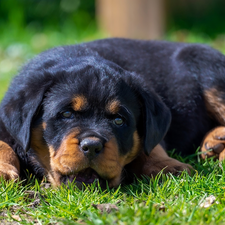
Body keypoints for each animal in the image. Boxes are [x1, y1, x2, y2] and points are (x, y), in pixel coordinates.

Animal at [0, 37, 223, 187]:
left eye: (118, 120)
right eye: (66, 114)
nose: (92, 146)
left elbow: (151, 147)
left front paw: (166, 165)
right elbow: (4, 144)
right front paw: (3, 171)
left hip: (209, 71)